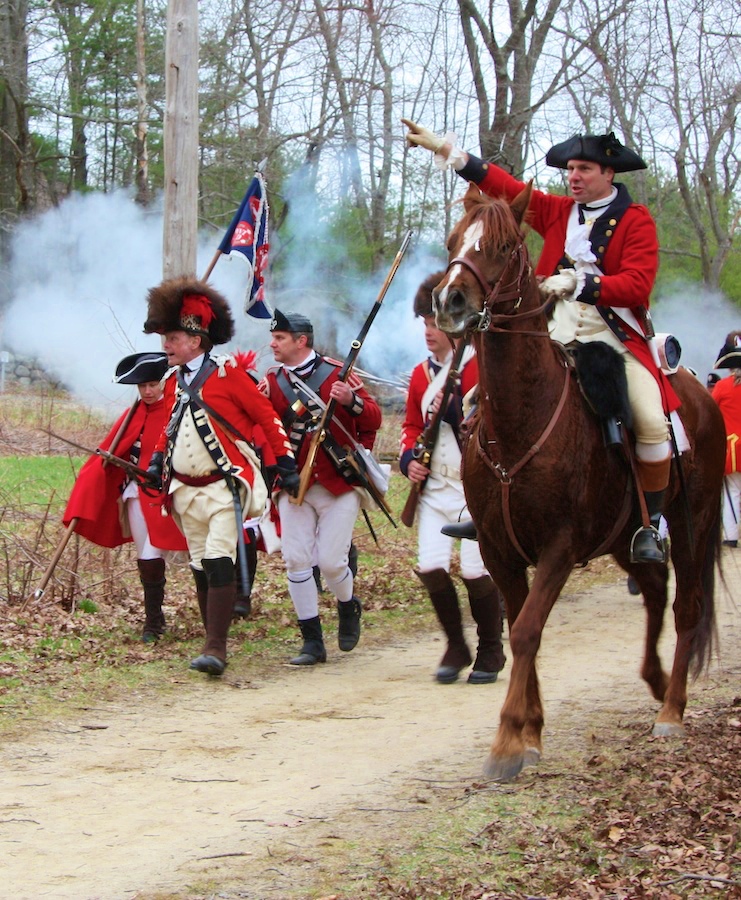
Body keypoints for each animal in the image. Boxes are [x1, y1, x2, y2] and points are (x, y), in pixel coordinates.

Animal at [434, 181, 724, 780]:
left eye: (503, 246)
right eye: (454, 240)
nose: (449, 302)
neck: (522, 418)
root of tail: (699, 392)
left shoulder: (559, 547)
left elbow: (526, 630)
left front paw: (507, 740)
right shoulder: (498, 549)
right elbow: (522, 626)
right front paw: (531, 731)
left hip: (691, 525)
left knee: (685, 607)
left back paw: (672, 709)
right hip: (625, 536)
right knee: (655, 591)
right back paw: (656, 681)